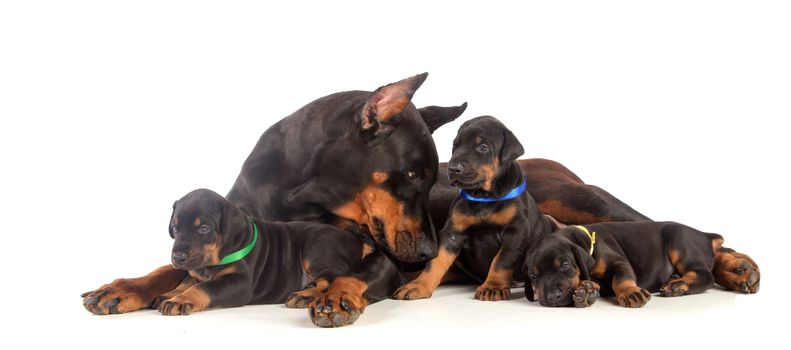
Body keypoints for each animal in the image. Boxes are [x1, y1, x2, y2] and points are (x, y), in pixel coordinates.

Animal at [95, 189, 400, 326]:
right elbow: (188, 280)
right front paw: (171, 293)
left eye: (204, 228)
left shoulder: (240, 282)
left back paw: (306, 294)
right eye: (175, 228)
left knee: (331, 277)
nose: (177, 256)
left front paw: (181, 299)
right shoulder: (193, 270)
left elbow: (205, 288)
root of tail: (357, 239)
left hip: (316, 247)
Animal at [394, 115, 556, 300]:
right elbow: (436, 261)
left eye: (483, 147)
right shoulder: (452, 233)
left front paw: (493, 287)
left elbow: (501, 261)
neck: (483, 197)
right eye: (455, 146)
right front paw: (419, 286)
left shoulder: (515, 231)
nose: (453, 169)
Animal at [524, 223, 760, 308]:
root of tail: (703, 234)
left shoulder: (619, 262)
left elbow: (622, 279)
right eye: (534, 277)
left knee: (706, 274)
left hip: (679, 240)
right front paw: (585, 290)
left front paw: (631, 293)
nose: (553, 298)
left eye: (564, 264)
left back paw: (677, 285)